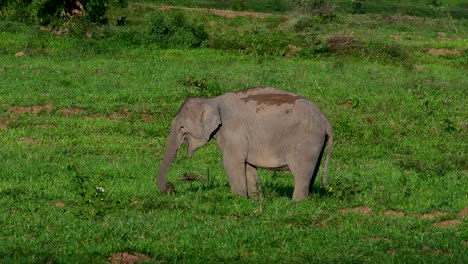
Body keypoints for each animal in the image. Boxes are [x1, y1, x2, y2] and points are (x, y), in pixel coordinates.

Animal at [157, 86, 332, 200]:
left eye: (181, 127)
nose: (170, 188)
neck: (212, 100)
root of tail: (325, 121)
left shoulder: (233, 132)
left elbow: (231, 162)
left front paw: (238, 198)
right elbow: (248, 165)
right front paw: (253, 199)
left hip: (305, 142)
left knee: (301, 173)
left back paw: (296, 202)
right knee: (312, 172)